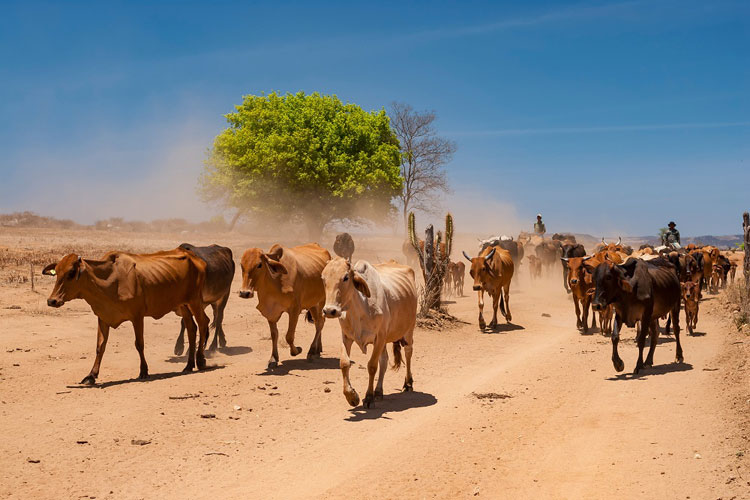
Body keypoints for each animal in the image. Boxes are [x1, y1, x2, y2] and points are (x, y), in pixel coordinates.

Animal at [43, 248, 210, 384]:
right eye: (56, 272)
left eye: (71, 273)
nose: (52, 300)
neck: (111, 280)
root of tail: (195, 258)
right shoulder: (103, 317)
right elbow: (100, 346)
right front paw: (91, 375)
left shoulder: (137, 316)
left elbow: (139, 344)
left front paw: (144, 371)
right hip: (183, 305)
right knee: (191, 328)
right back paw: (189, 365)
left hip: (194, 301)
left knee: (203, 323)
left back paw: (201, 361)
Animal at [322, 256, 420, 408]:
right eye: (323, 278)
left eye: (345, 277)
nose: (329, 311)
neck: (360, 310)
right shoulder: (346, 337)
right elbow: (344, 363)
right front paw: (352, 396)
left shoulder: (379, 337)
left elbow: (372, 366)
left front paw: (368, 397)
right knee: (384, 361)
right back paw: (379, 392)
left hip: (409, 329)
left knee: (408, 352)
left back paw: (408, 383)